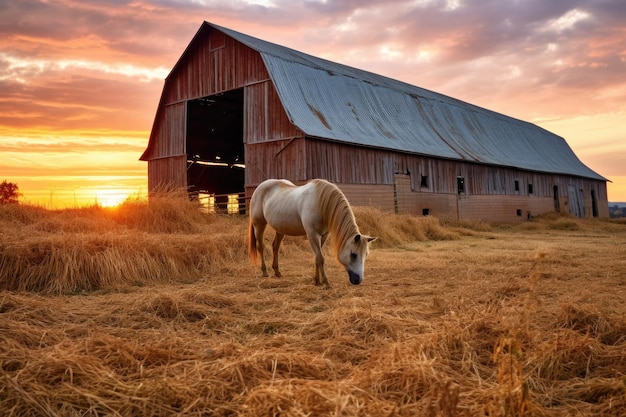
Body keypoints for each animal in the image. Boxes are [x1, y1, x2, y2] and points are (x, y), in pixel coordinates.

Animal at [247, 179, 376, 286]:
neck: (321, 203)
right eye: (353, 254)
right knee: (261, 247)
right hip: (259, 224)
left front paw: (317, 281)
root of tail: (259, 187)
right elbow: (320, 258)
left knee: (275, 247)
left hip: (280, 228)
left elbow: (317, 258)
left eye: (365, 255)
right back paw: (264, 271)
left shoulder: (323, 235)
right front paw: (325, 282)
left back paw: (277, 271)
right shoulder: (312, 234)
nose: (358, 280)